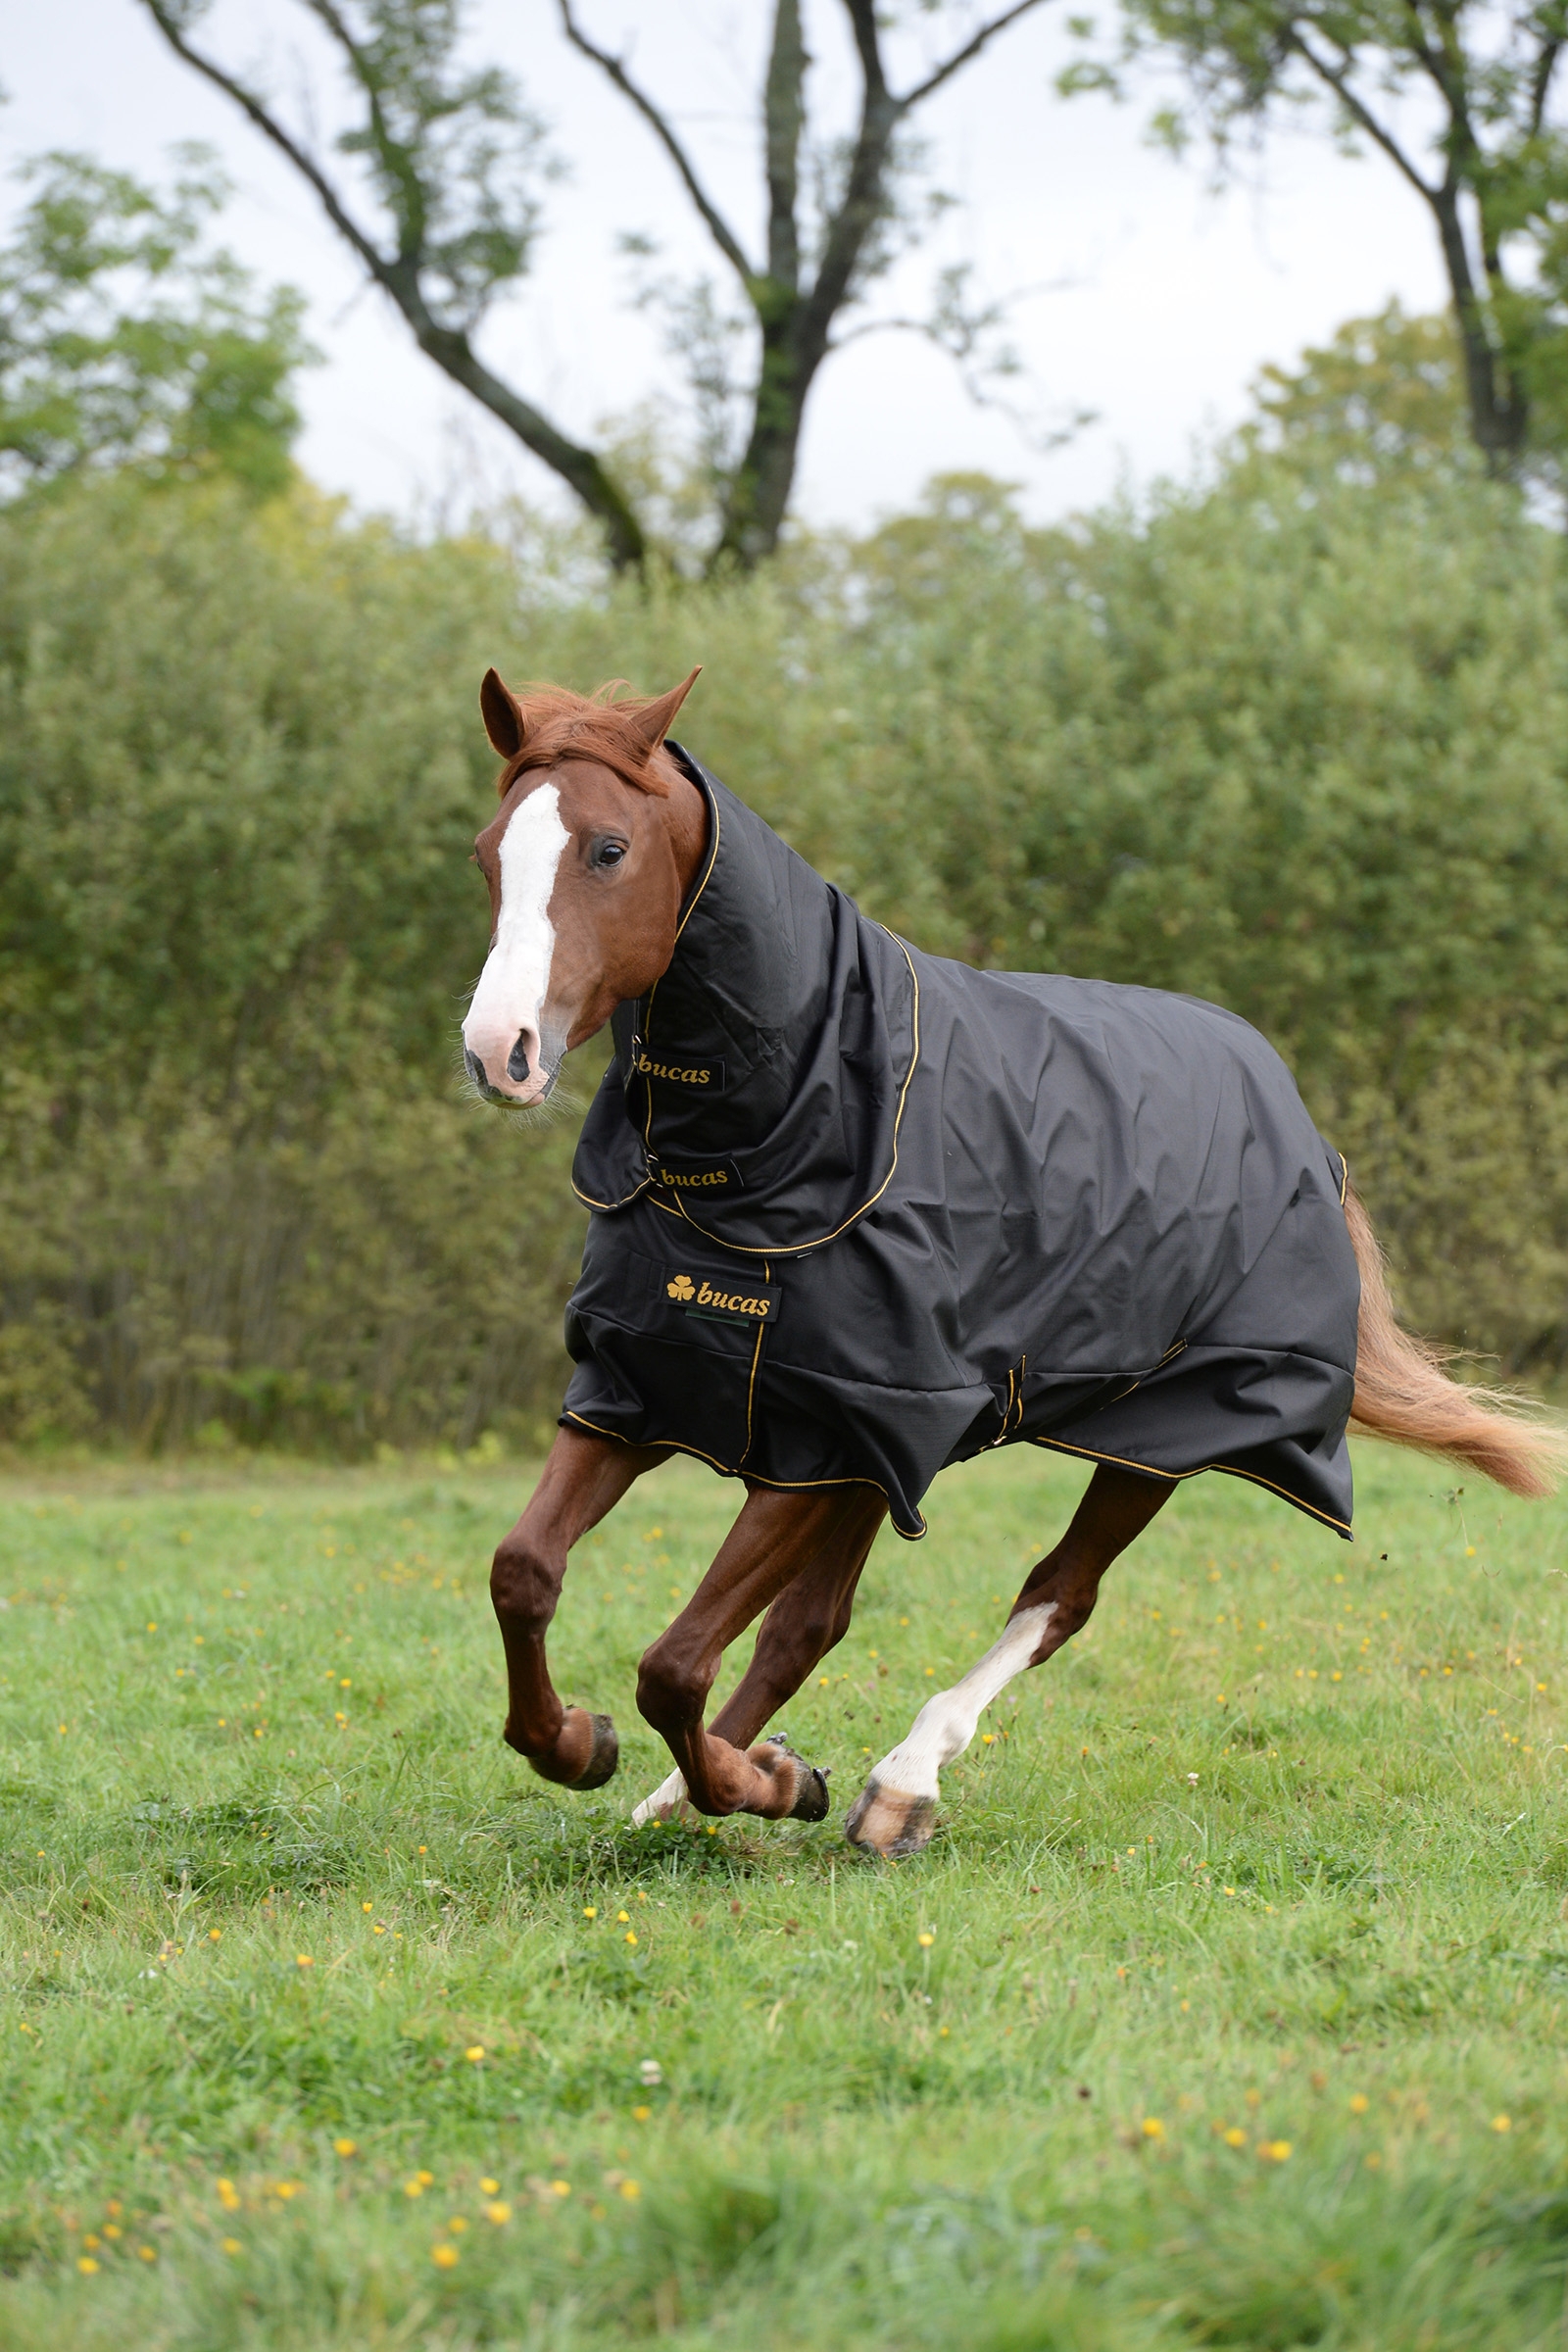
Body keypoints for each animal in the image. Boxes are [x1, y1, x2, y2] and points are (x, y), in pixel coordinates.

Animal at [460, 668, 1563, 1860]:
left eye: (608, 849)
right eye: (487, 852)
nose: (498, 1053)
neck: (776, 1140)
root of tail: (1293, 1111)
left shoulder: (829, 1431)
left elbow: (672, 1664)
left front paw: (764, 1781)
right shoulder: (659, 1393)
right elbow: (526, 1574)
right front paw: (589, 1747)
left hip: (1158, 1432)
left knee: (1054, 1596)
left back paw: (895, 1787)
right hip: (894, 1456)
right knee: (809, 1624)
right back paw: (705, 1791)